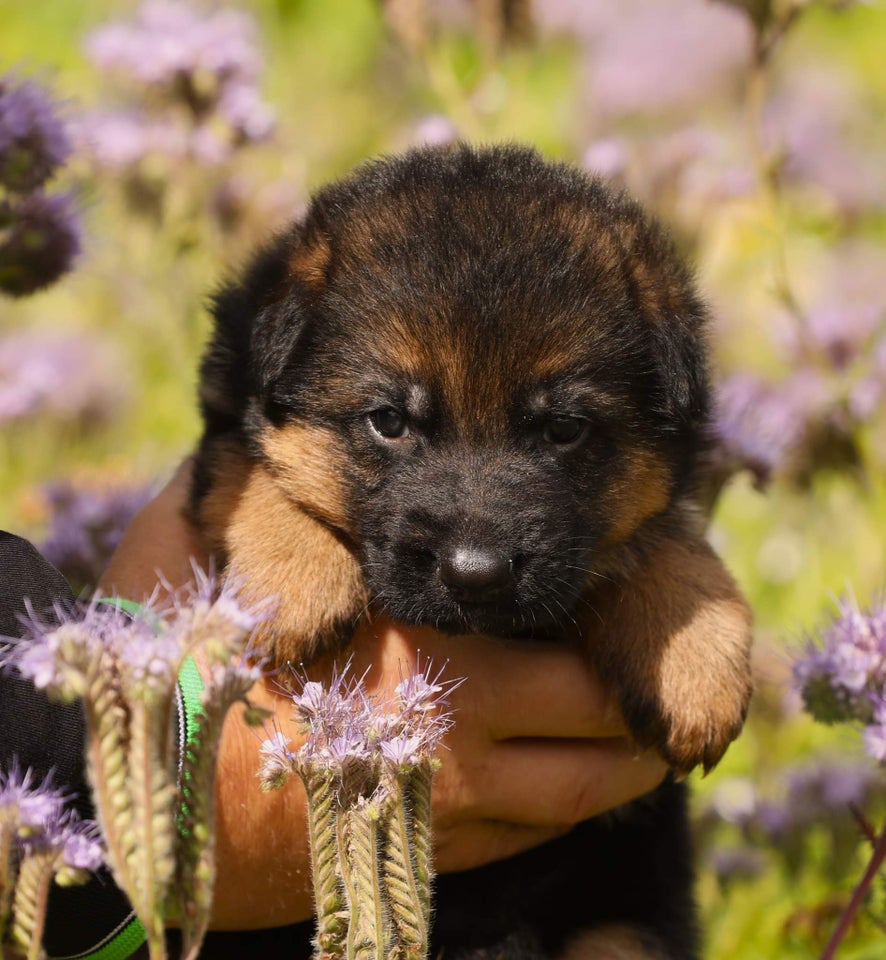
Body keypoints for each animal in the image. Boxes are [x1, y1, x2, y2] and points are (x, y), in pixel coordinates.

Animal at [191, 144, 752, 960]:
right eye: (389, 421)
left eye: (564, 430)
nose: (476, 575)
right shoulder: (228, 407)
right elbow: (252, 465)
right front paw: (289, 580)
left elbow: (664, 536)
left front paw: (696, 659)